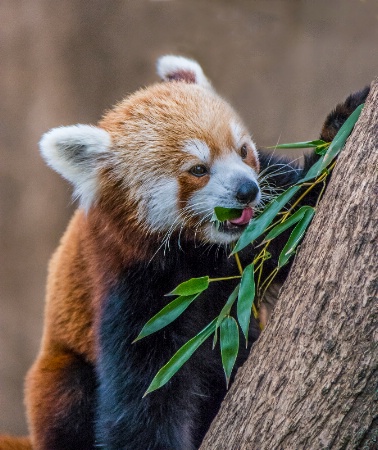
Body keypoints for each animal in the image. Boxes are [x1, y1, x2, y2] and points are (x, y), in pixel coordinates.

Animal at [0, 56, 368, 450]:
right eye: (198, 169)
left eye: (242, 151)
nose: (247, 191)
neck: (204, 252)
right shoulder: (134, 289)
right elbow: (143, 402)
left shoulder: (264, 218)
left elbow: (298, 212)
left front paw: (344, 122)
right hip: (59, 377)